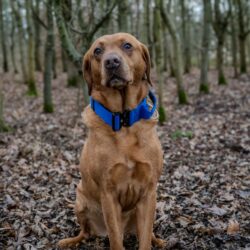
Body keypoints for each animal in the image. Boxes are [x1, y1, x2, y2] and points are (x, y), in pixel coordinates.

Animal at [58, 32, 164, 248]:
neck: (123, 120)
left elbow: (145, 238)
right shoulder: (108, 194)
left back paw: (158, 240)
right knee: (85, 232)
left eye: (127, 45)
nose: (111, 62)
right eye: (98, 51)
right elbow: (115, 239)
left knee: (148, 233)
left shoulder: (149, 192)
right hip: (80, 200)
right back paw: (71, 241)